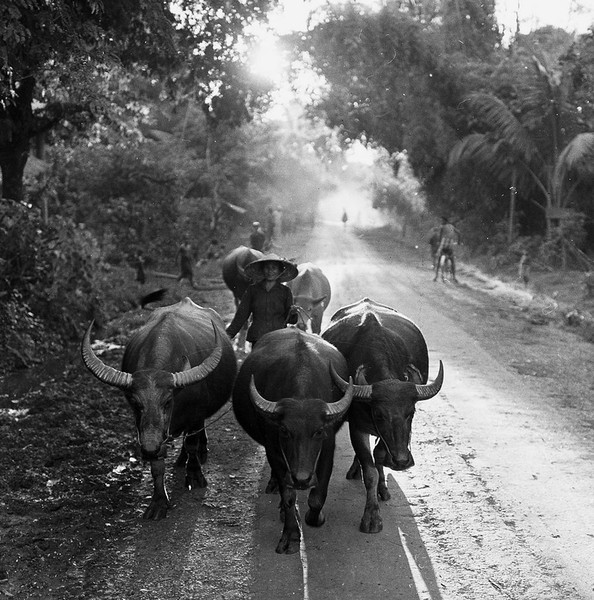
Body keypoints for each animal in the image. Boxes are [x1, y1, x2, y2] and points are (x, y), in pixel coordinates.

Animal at [83, 298, 236, 520]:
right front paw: (158, 502)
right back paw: (180, 459)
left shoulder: (196, 413)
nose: (149, 448)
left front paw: (195, 476)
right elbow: (157, 465)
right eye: (136, 403)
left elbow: (191, 442)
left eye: (167, 401)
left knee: (197, 435)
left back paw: (200, 452)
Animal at [231, 328, 352, 552]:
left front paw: (315, 517)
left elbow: (317, 496)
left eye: (319, 431)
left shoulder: (327, 449)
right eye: (284, 430)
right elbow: (288, 496)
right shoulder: (274, 450)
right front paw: (291, 534)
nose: (301, 479)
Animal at [322, 298, 442, 536]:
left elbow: (378, 455)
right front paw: (372, 517)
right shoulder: (357, 426)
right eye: (378, 413)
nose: (402, 461)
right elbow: (369, 470)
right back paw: (355, 470)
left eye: (411, 412)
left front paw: (383, 489)